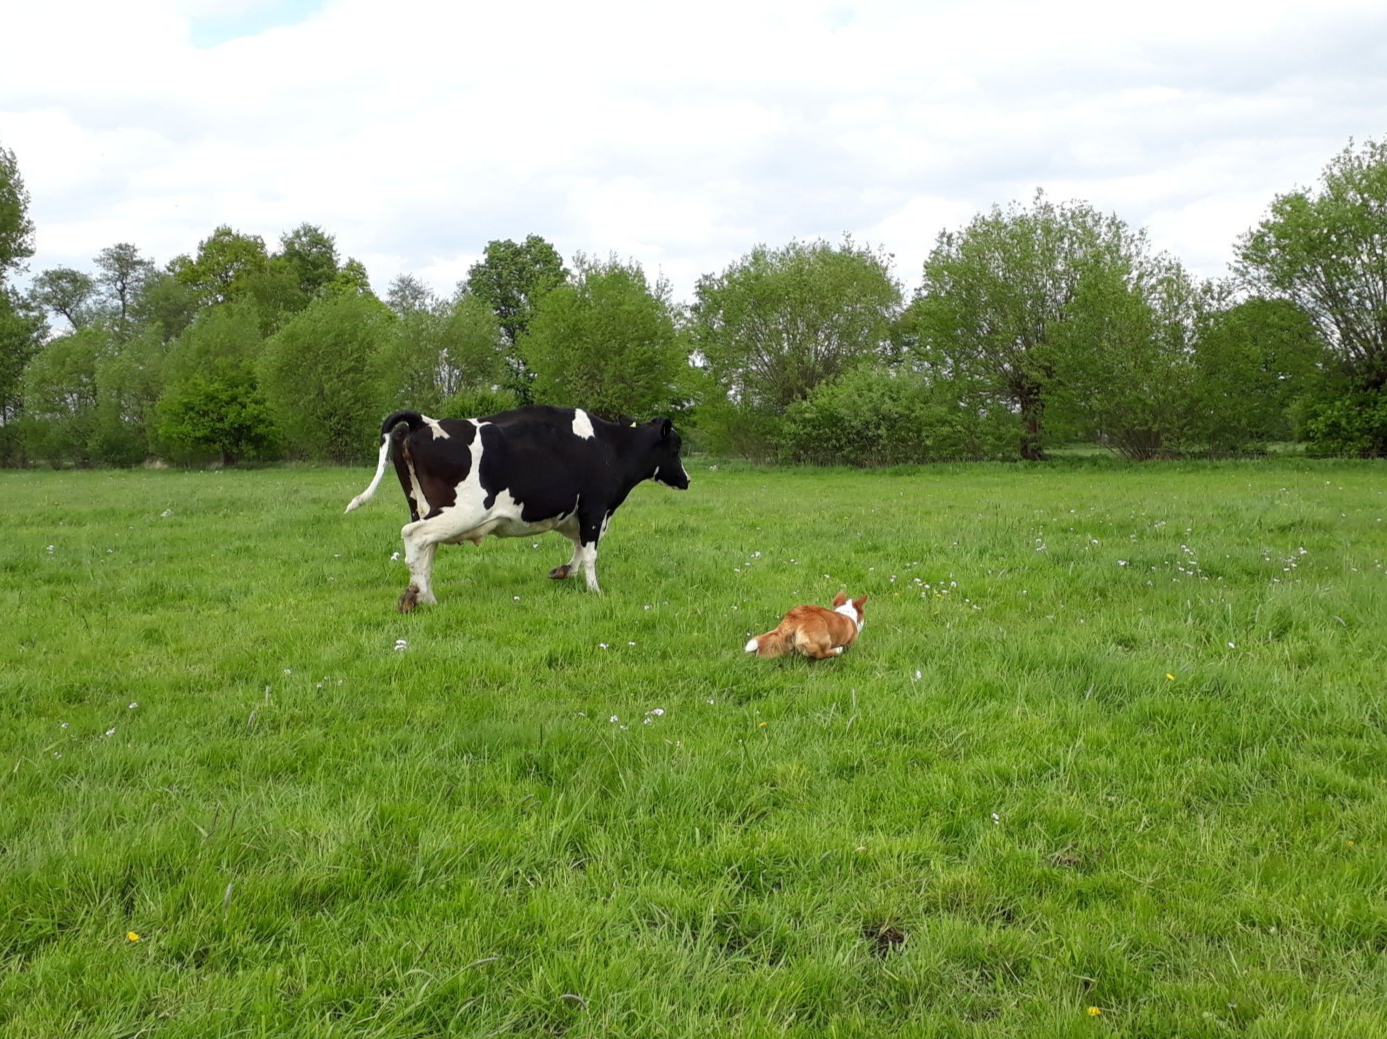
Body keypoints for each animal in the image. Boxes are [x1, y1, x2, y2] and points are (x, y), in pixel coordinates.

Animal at [345, 405, 690, 610]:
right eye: (676, 447)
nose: (687, 479)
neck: (612, 446)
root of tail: (423, 422)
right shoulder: (595, 507)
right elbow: (590, 552)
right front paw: (595, 591)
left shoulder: (575, 513)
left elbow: (579, 547)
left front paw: (563, 571)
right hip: (462, 511)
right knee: (414, 536)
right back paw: (414, 595)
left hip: (422, 506)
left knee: (426, 548)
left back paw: (427, 598)